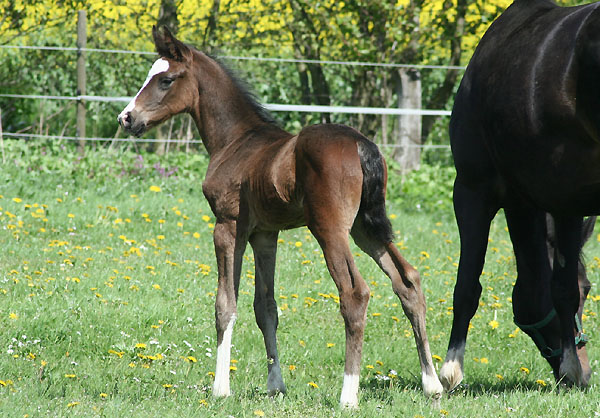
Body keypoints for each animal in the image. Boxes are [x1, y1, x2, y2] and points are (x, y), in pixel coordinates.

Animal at [118, 26, 446, 404]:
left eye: (166, 80)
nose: (127, 118)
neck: (235, 142)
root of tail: (361, 145)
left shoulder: (229, 227)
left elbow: (225, 305)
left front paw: (220, 388)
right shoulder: (265, 235)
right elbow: (266, 308)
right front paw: (276, 384)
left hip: (330, 229)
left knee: (355, 294)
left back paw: (348, 394)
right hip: (365, 227)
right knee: (407, 281)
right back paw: (432, 383)